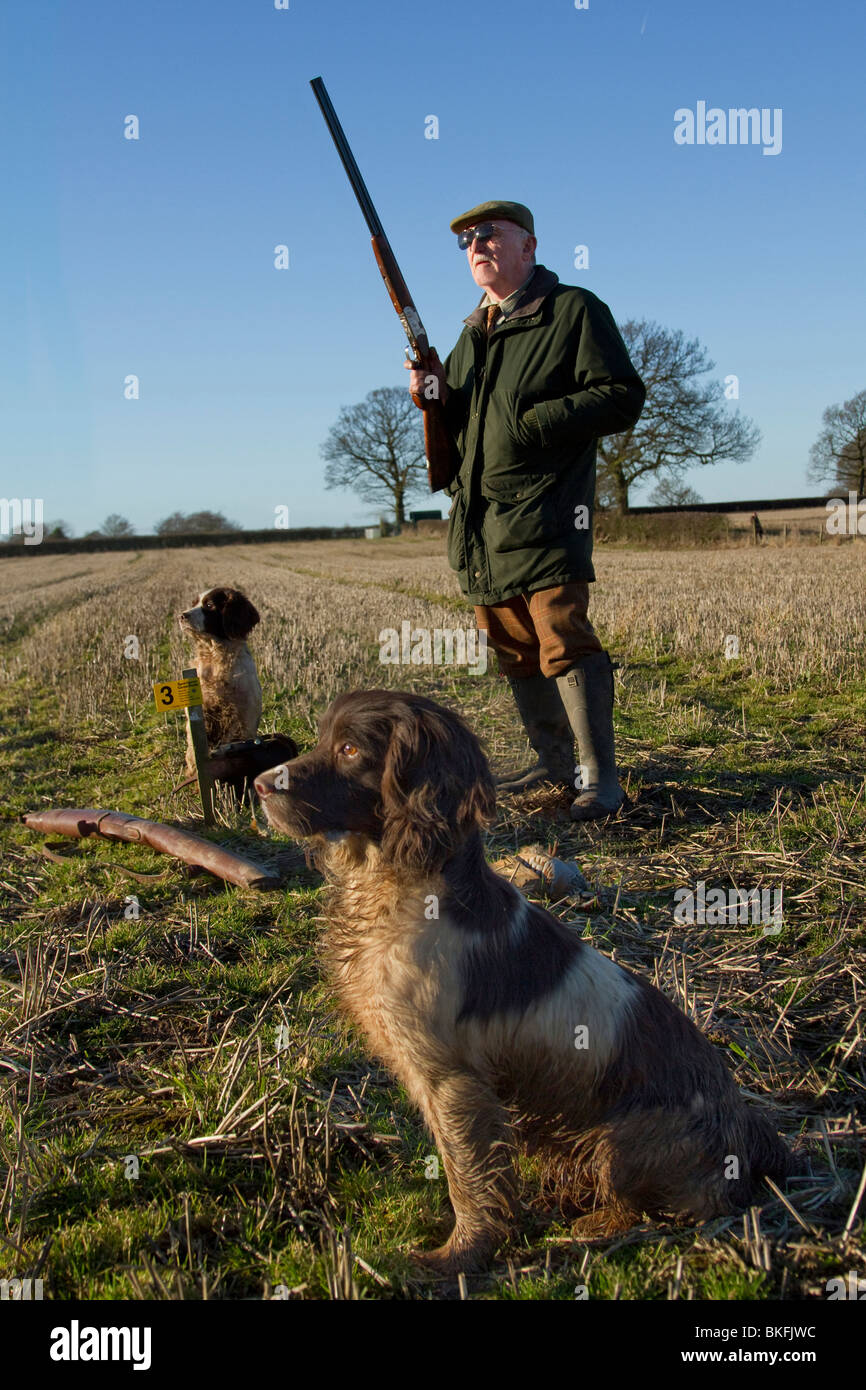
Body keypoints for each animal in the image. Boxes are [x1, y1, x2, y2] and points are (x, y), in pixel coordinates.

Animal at [252, 689, 800, 1273]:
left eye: (351, 749)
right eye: (321, 740)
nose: (259, 785)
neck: (398, 887)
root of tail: (747, 1129)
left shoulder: (453, 1080)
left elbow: (470, 1179)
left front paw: (460, 1254)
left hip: (623, 1140)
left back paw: (593, 1226)